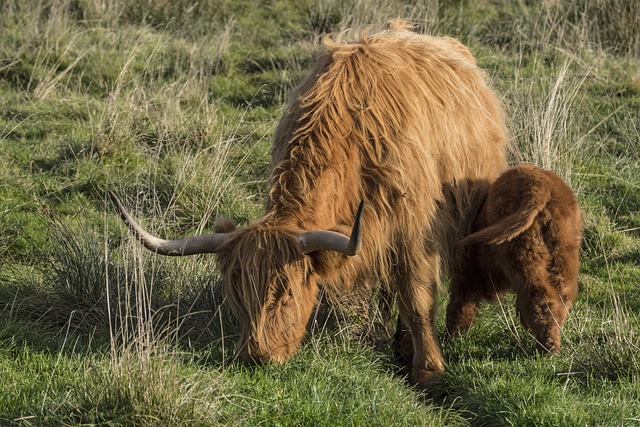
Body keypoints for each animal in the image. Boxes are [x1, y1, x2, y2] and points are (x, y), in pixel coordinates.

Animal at [111, 21, 510, 390]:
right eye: (236, 293)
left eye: (286, 291)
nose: (257, 357)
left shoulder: (414, 229)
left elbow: (417, 297)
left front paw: (428, 370)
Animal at [448, 164, 584, 354]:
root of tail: (541, 185)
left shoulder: (470, 269)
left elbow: (461, 299)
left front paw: (454, 335)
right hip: (563, 256)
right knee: (561, 298)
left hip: (522, 256)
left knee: (541, 298)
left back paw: (546, 348)